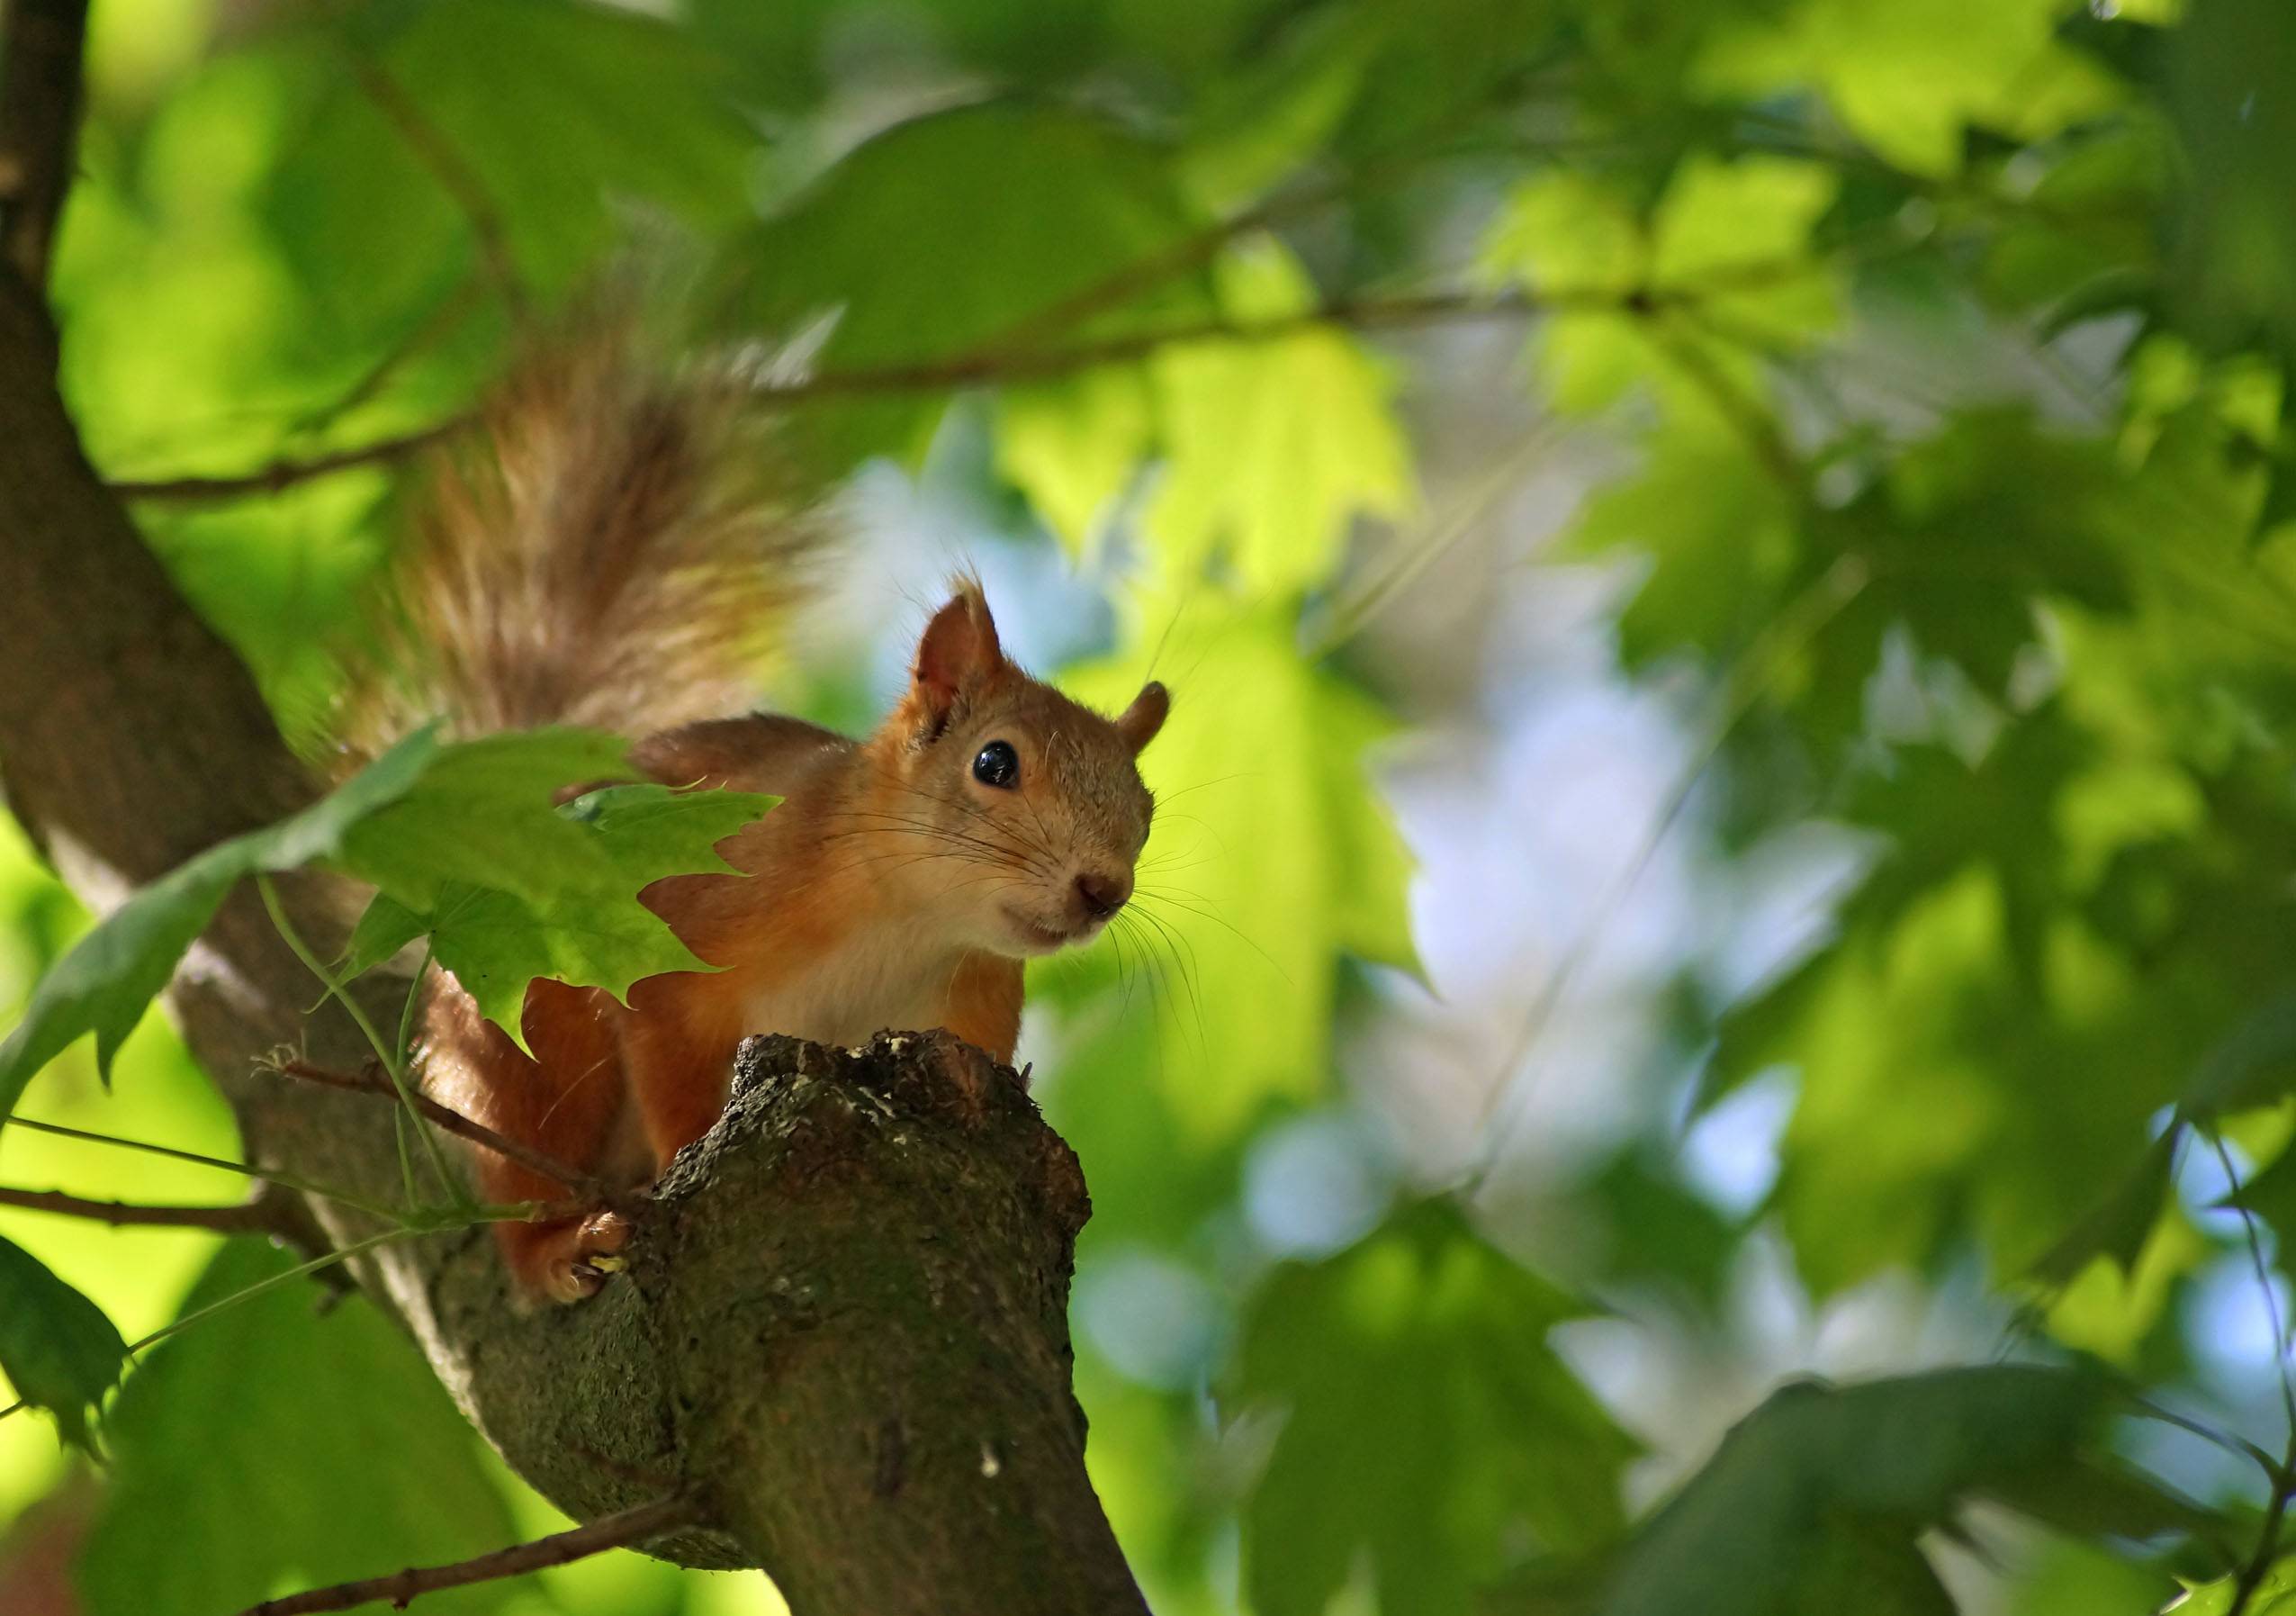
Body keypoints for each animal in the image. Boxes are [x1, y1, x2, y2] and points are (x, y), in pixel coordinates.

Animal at [348, 328, 1175, 1304]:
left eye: (1146, 811)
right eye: (994, 763)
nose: (1102, 889)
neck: (905, 921)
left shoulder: (970, 1020)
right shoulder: (684, 934)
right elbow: (670, 1058)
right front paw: (681, 1171)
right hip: (526, 1035)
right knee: (526, 1157)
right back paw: (557, 1247)